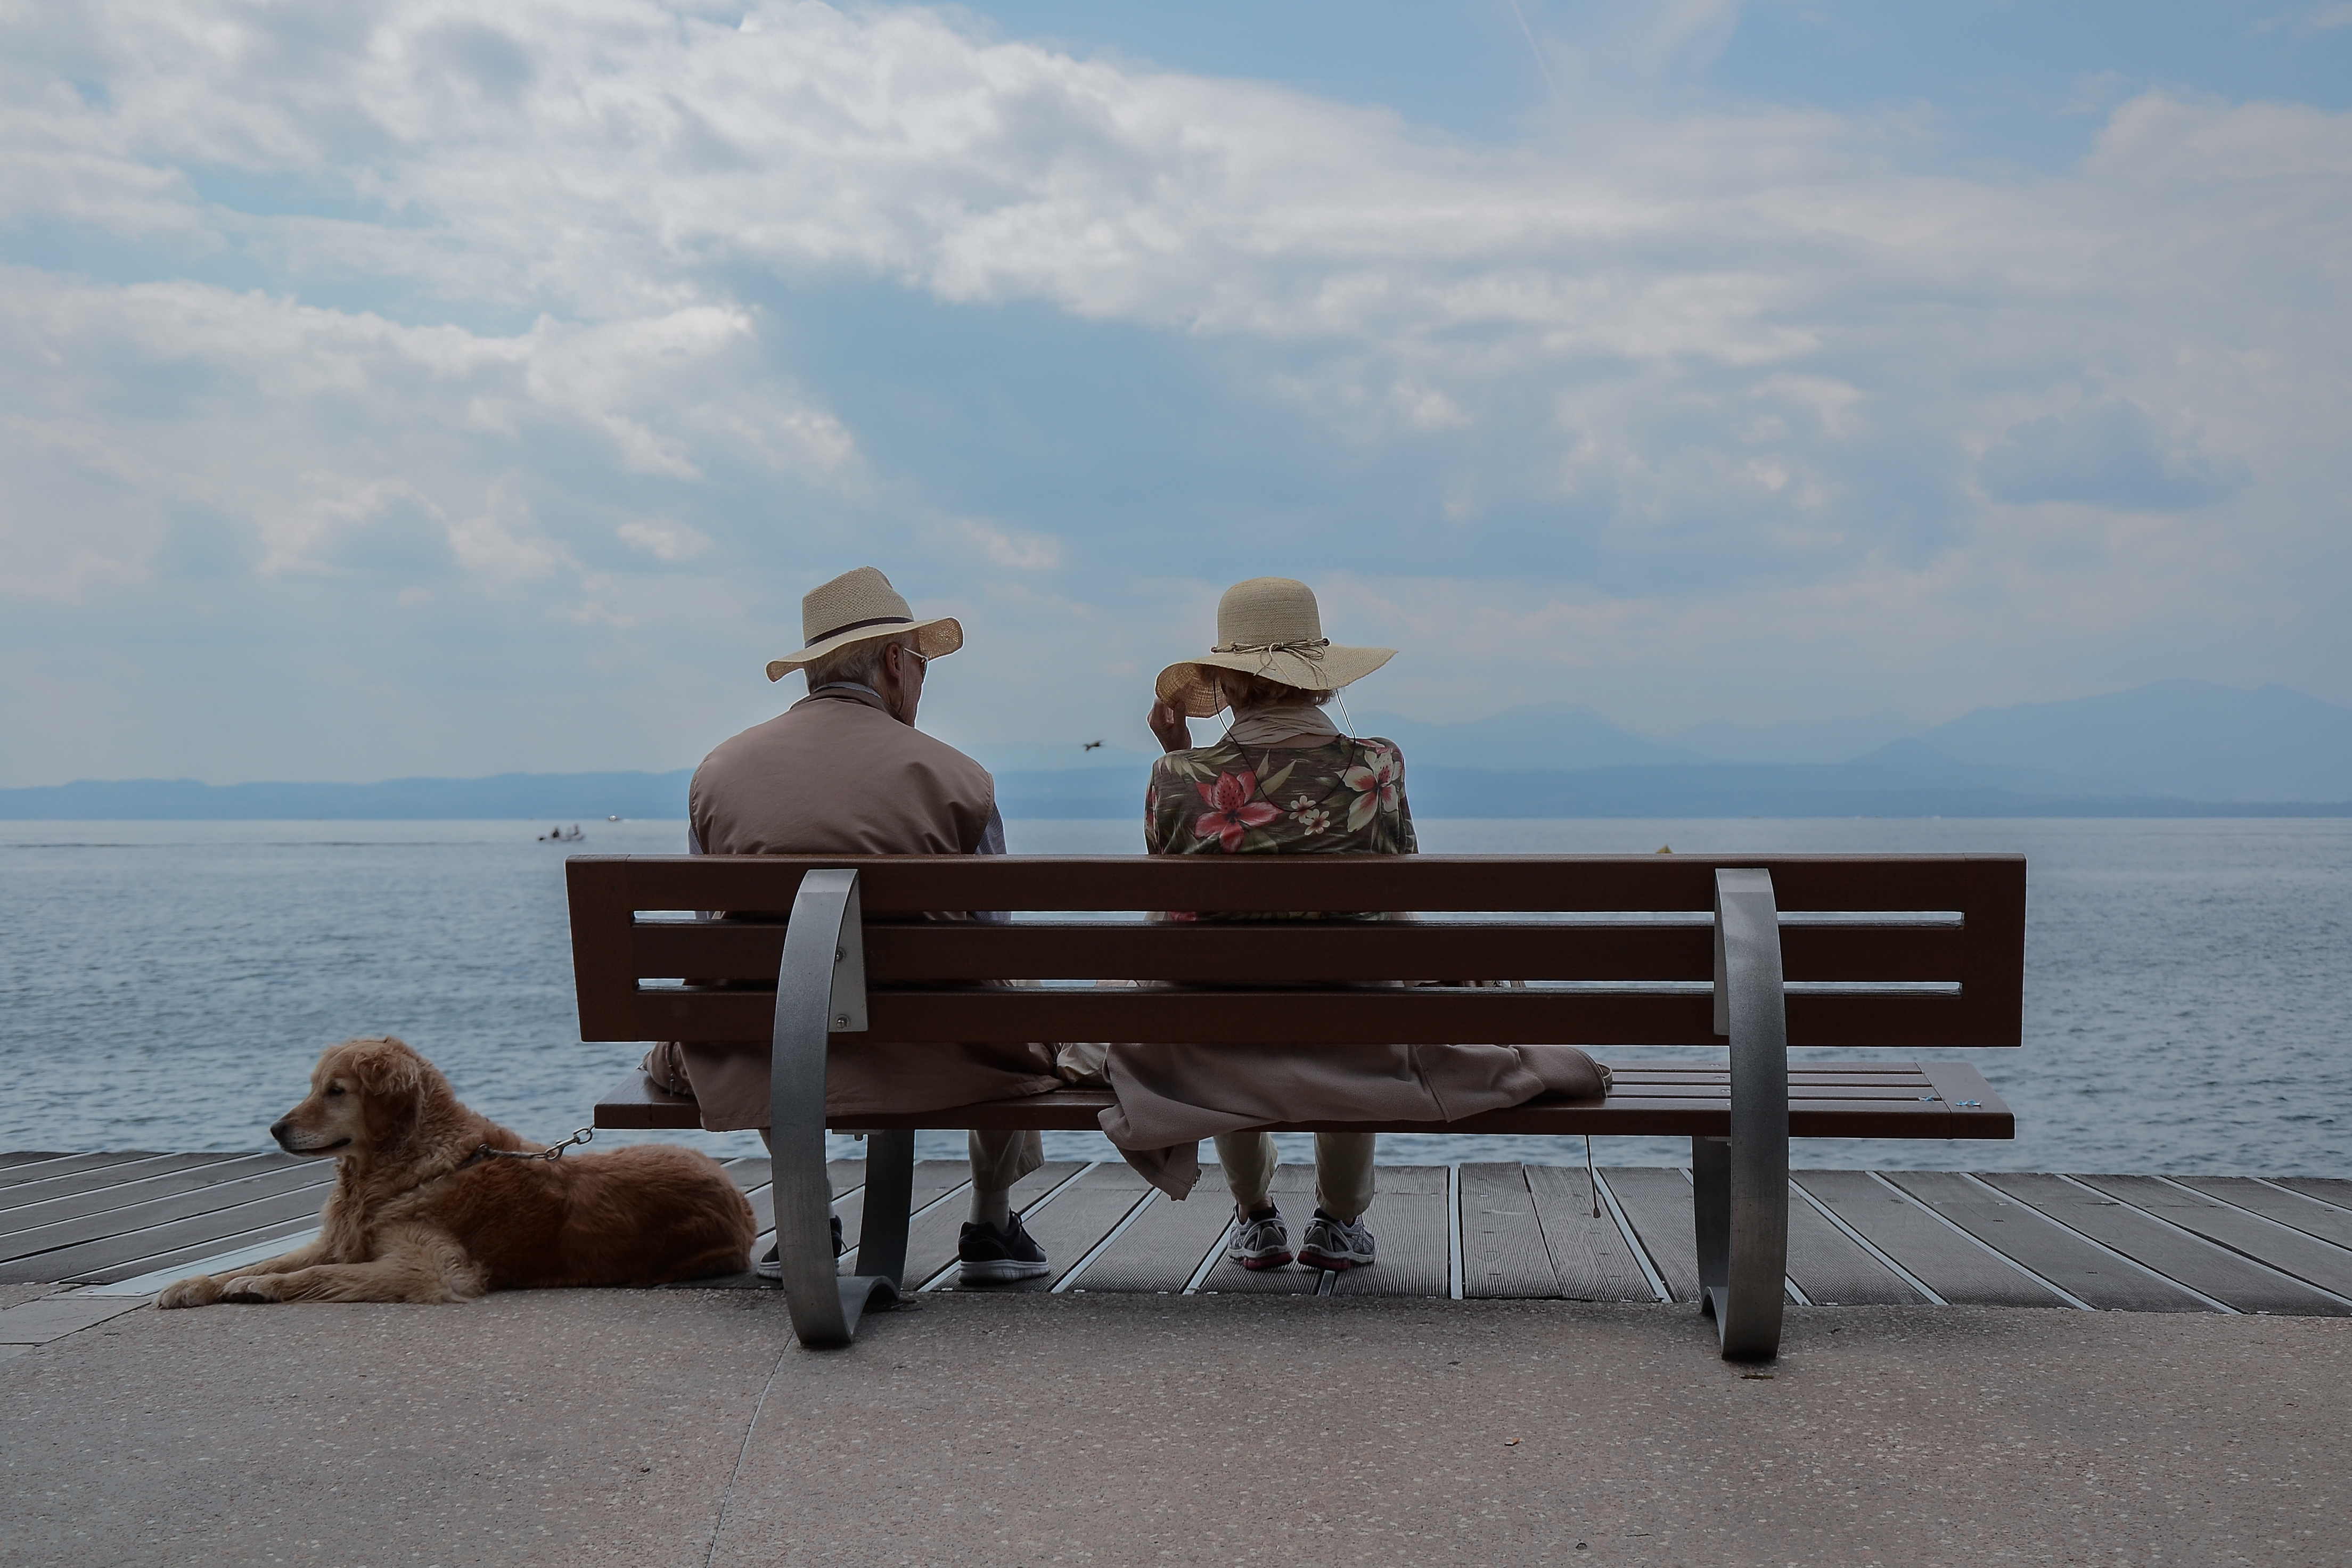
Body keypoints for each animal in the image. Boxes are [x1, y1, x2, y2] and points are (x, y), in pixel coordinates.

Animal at [161, 1034, 748, 1307]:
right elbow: (265, 1260)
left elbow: (315, 1274)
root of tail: (737, 1197)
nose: (275, 1129)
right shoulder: (343, 1238)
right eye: (312, 1086)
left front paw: (263, 1286)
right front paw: (196, 1284)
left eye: (336, 1090)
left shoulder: (432, 1268)